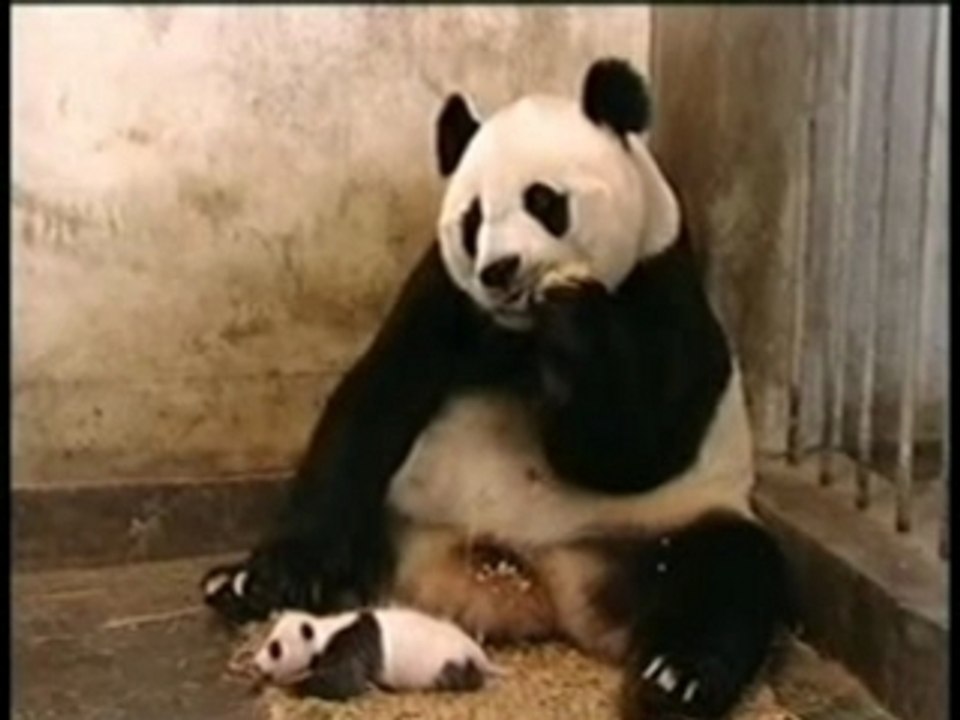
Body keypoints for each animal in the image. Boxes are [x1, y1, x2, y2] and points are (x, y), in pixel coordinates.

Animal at [203, 58, 791, 720]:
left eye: (545, 201)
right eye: (473, 219)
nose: (500, 270)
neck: (521, 333)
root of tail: (535, 588)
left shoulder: (663, 290)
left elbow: (633, 451)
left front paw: (574, 321)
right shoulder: (444, 296)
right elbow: (374, 402)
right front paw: (275, 574)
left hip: (662, 527)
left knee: (730, 571)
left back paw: (674, 678)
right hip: (400, 514)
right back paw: (239, 587)